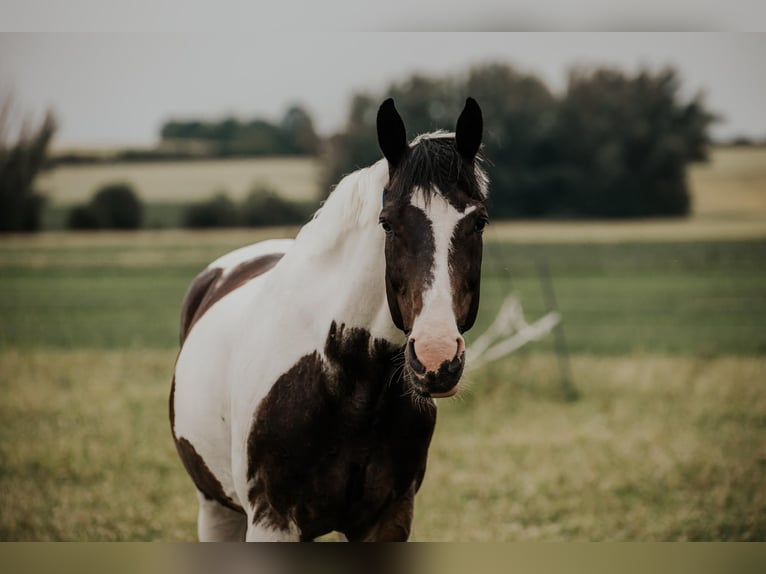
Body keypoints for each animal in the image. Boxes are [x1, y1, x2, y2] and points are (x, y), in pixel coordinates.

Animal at [170, 97, 488, 541]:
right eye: (387, 222)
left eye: (479, 221)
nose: (436, 356)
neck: (347, 383)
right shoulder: (271, 522)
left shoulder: (388, 519)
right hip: (215, 506)